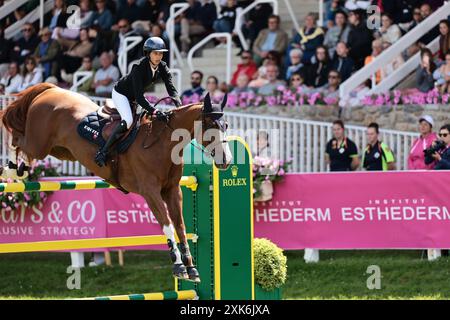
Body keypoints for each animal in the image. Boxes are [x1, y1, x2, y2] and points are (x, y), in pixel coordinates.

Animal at [0, 83, 232, 282]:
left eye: (226, 125)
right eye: (210, 124)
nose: (227, 160)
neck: (164, 142)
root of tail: (51, 90)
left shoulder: (172, 191)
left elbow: (180, 226)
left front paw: (191, 268)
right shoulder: (151, 192)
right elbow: (167, 225)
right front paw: (178, 267)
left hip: (61, 151)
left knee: (23, 144)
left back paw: (18, 169)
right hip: (39, 143)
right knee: (17, 139)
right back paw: (10, 170)